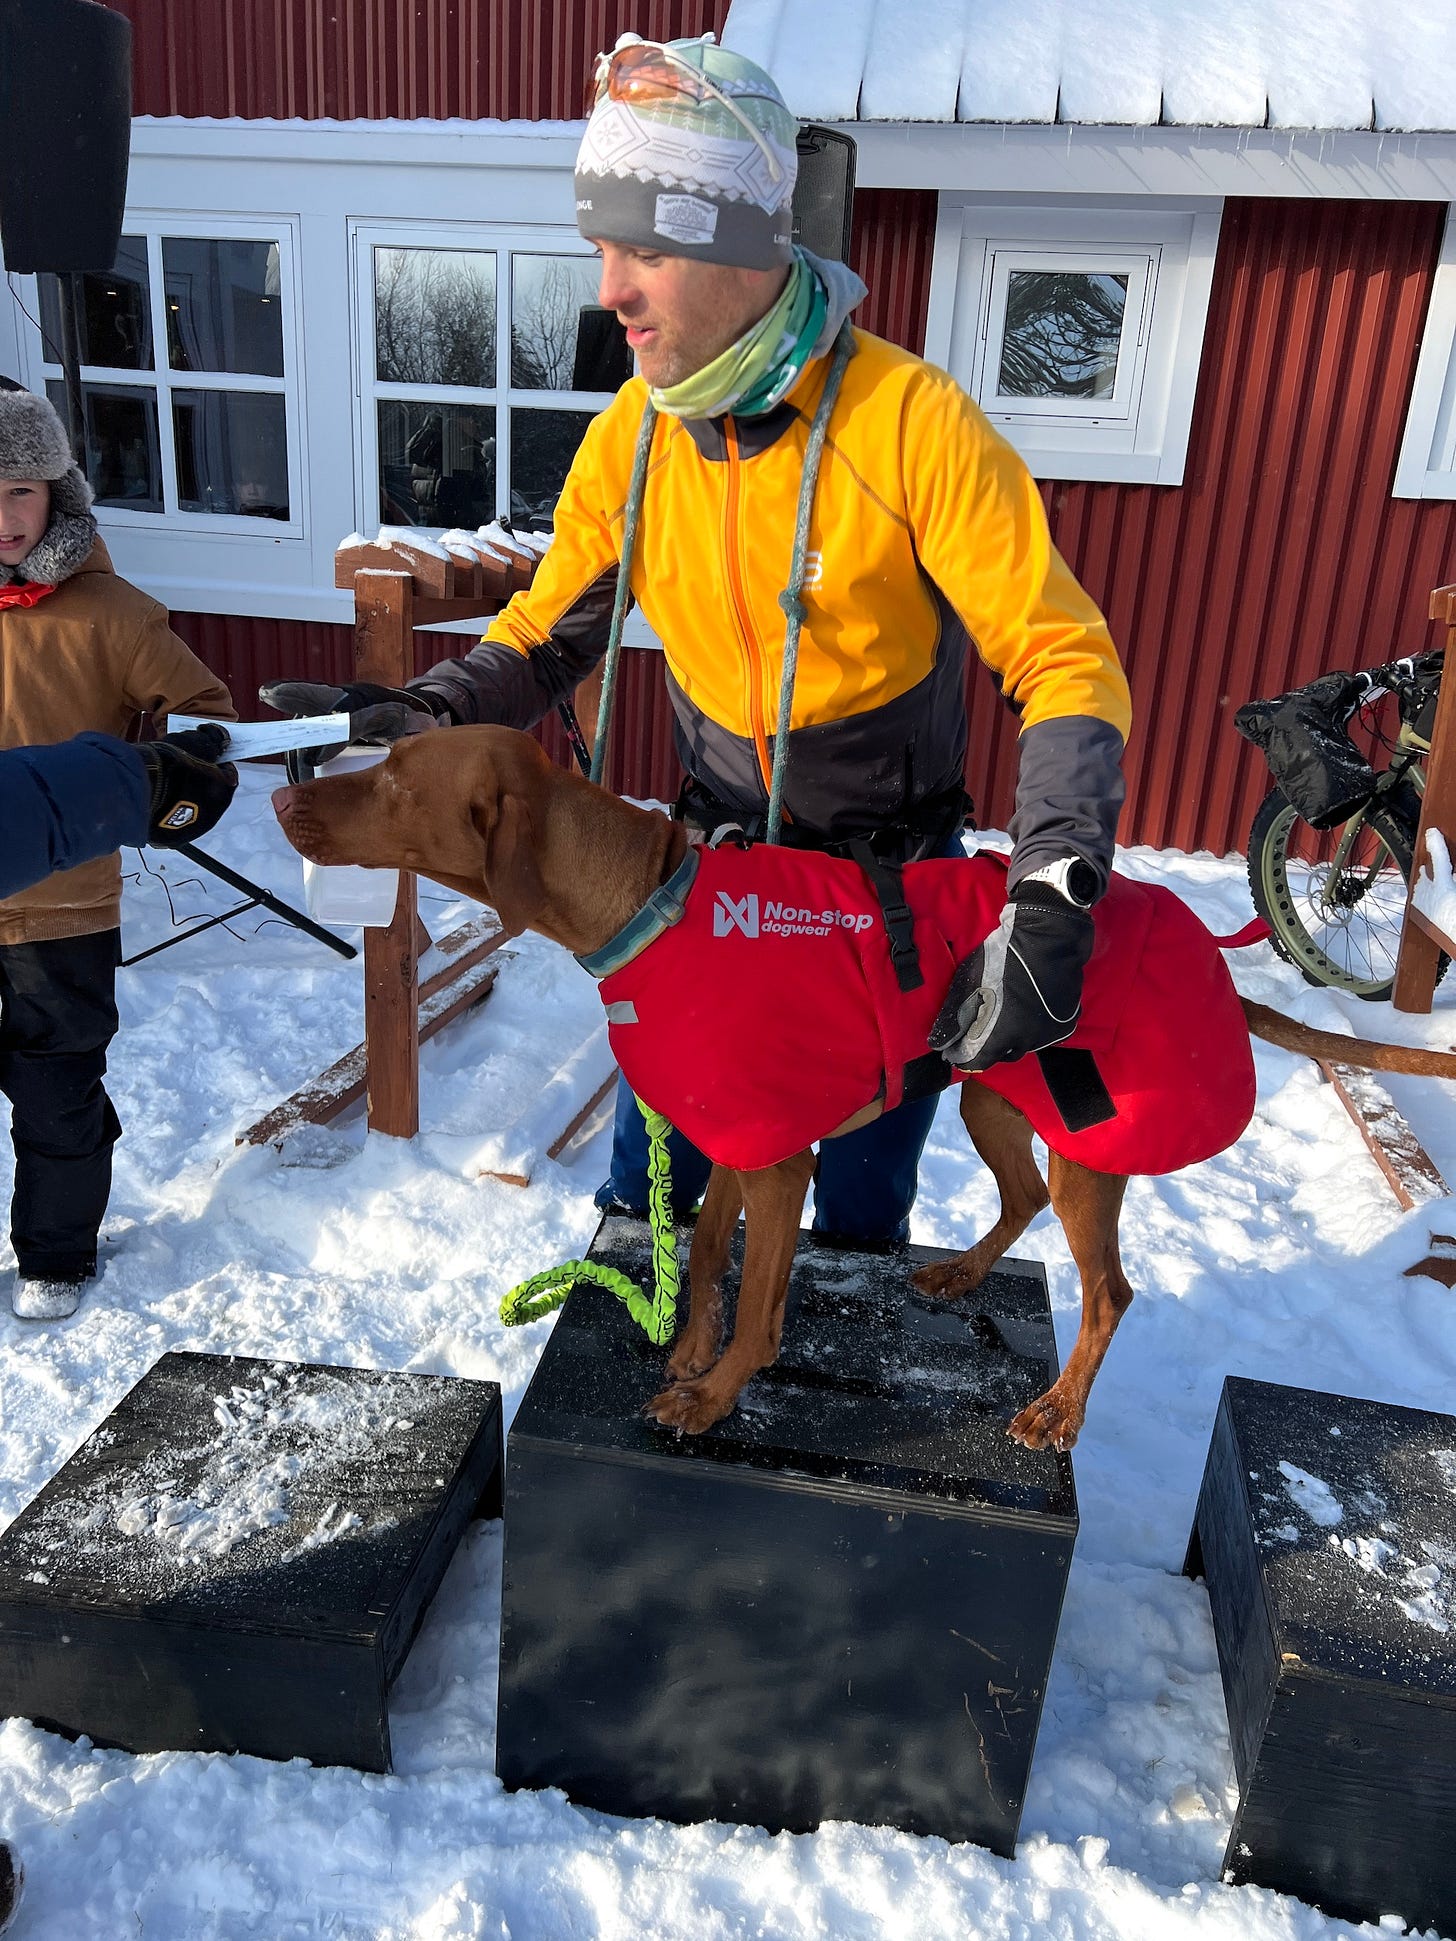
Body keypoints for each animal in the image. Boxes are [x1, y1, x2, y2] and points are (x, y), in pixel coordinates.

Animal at [273, 733, 1456, 1451]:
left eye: (393, 777)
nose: (282, 789)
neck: (654, 898)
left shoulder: (780, 1158)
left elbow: (757, 1298)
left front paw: (714, 1392)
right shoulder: (740, 1141)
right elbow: (708, 1252)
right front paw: (691, 1347)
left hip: (1090, 1144)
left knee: (1110, 1292)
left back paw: (1058, 1412)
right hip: (991, 1096)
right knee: (1022, 1199)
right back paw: (963, 1276)